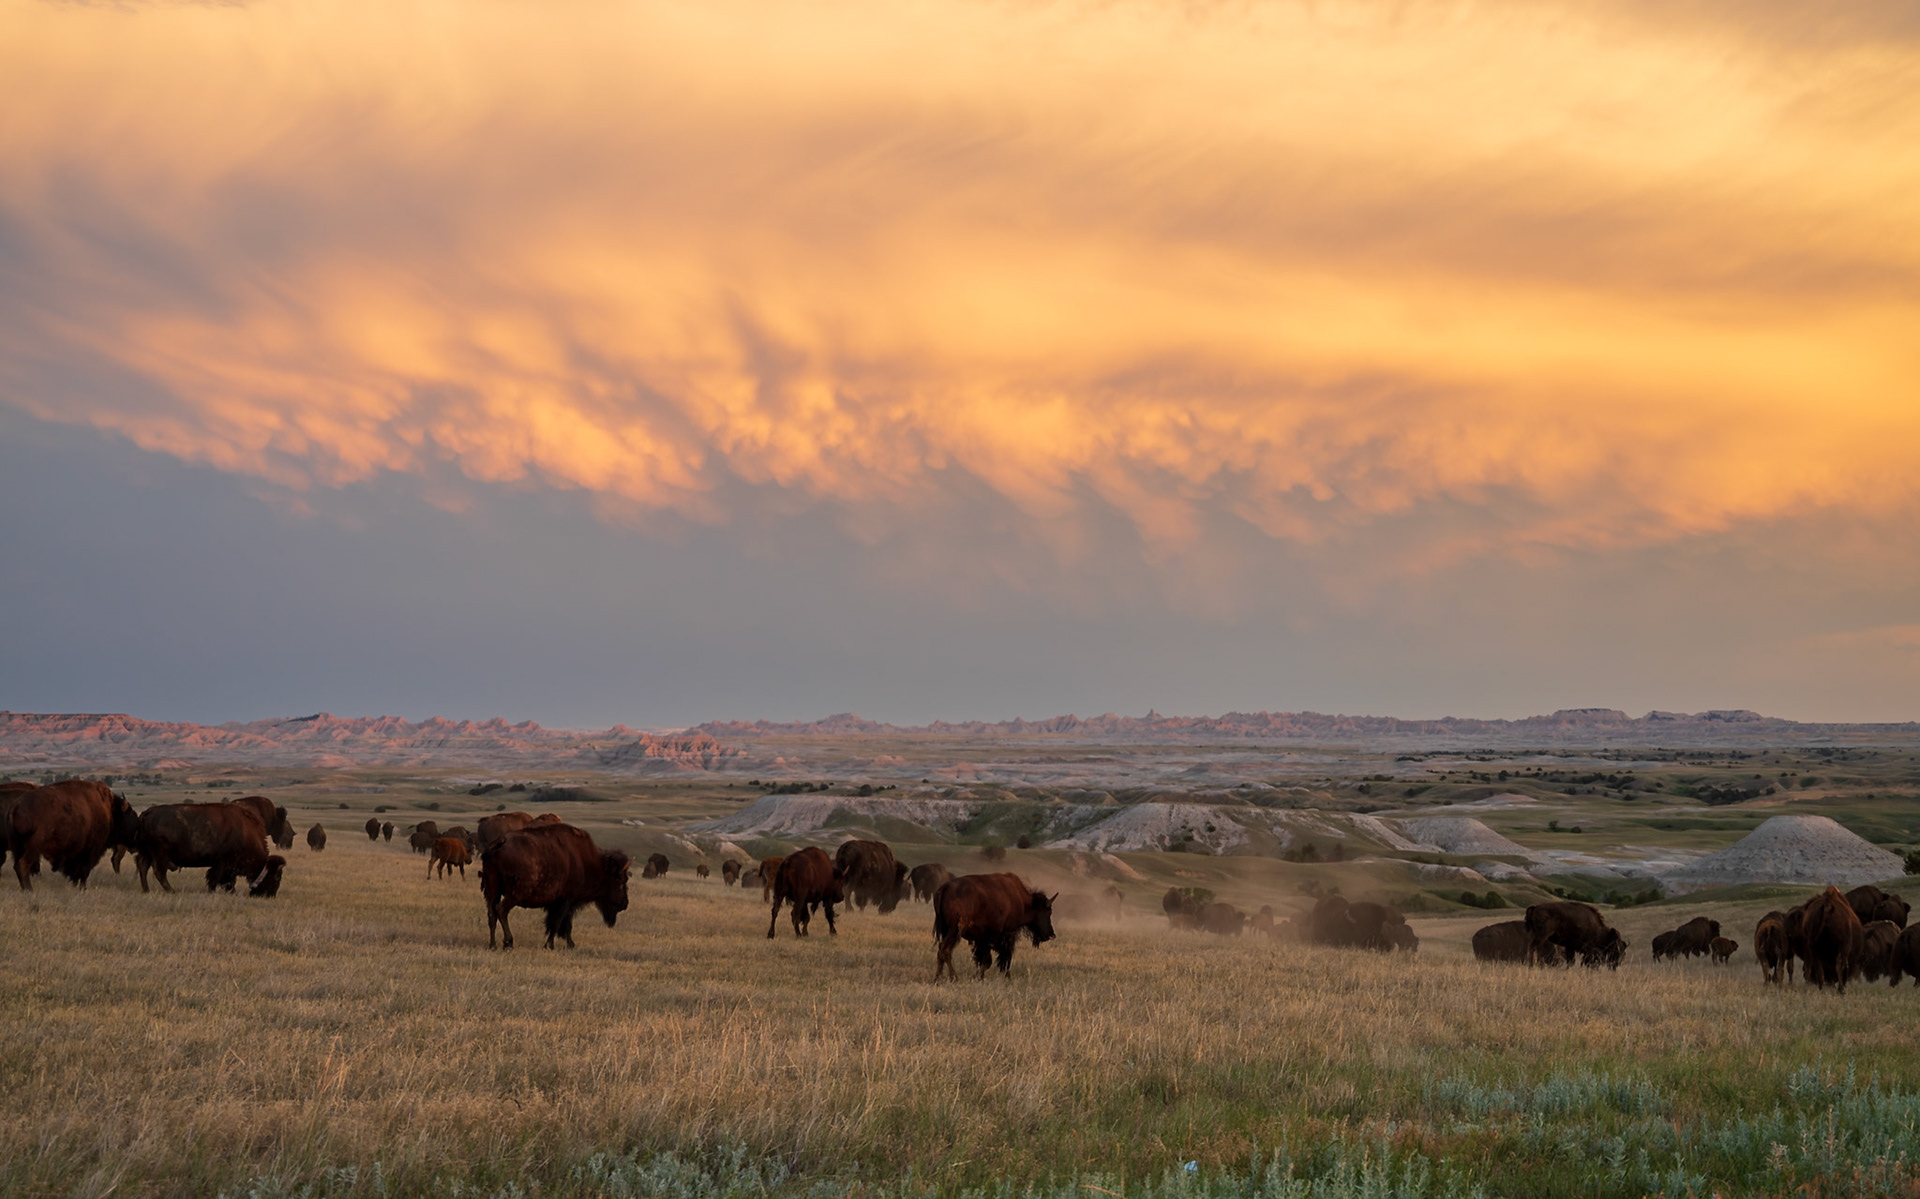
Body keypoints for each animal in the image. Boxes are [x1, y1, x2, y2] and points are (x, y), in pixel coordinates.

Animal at [8, 780, 137, 890]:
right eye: (130, 814)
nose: (136, 834)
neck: (109, 811)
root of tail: (16, 807)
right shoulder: (90, 851)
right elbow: (84, 872)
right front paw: (83, 889)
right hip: (34, 847)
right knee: (23, 864)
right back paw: (29, 890)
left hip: (18, 846)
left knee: (17, 866)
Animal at [480, 822, 631, 950]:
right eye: (619, 880)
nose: (624, 904)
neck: (585, 862)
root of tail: (500, 842)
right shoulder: (565, 900)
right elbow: (557, 923)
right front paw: (550, 945)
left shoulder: (564, 903)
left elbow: (565, 924)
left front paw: (570, 945)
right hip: (514, 894)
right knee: (501, 910)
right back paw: (508, 943)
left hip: (493, 890)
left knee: (492, 914)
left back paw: (492, 945)